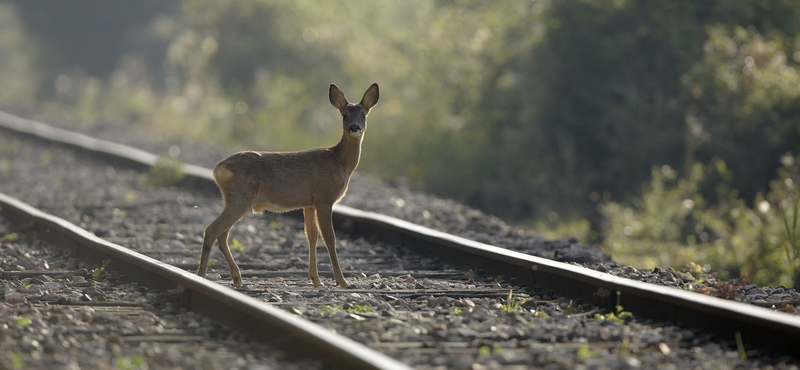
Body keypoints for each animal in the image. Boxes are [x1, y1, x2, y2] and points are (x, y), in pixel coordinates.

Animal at [196, 84, 378, 290]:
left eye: (363, 114)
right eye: (344, 115)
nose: (354, 127)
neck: (341, 163)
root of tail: (218, 169)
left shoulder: (310, 203)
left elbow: (312, 235)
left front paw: (316, 279)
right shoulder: (325, 197)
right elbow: (329, 237)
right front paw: (342, 281)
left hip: (237, 199)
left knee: (222, 234)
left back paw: (236, 278)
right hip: (240, 197)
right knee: (212, 230)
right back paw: (202, 276)